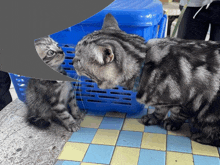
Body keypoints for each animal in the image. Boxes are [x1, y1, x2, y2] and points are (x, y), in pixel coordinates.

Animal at [73, 13, 220, 146]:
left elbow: (177, 113)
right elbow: (160, 110)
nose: (73, 60)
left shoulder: (188, 100)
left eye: (79, 60)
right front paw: (153, 118)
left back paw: (201, 137)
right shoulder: (163, 102)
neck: (145, 65)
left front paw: (171, 122)